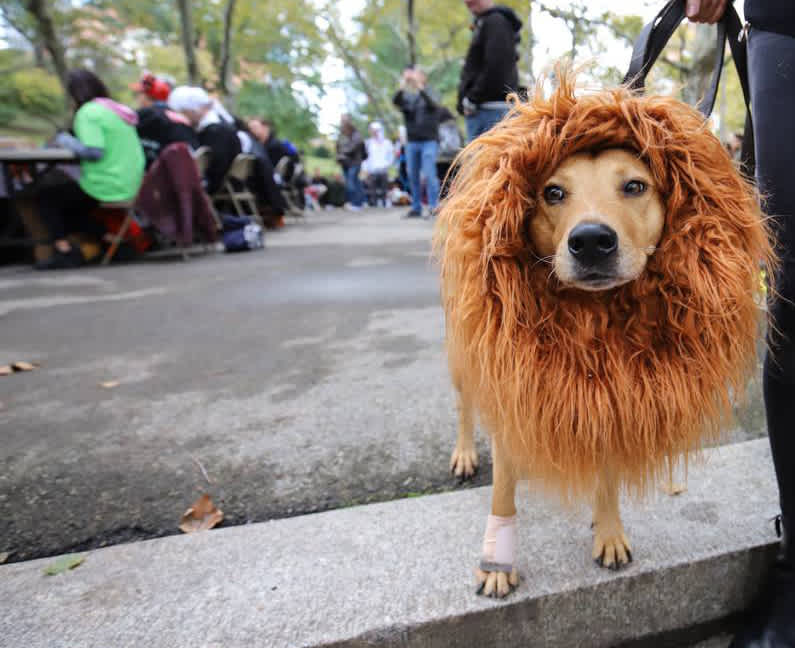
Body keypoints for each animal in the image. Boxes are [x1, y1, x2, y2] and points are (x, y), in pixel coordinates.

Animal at [432, 72, 776, 596]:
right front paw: (498, 564)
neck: (596, 321)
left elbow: (608, 473)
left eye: (634, 186)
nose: (592, 240)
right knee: (466, 408)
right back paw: (466, 453)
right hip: (466, 356)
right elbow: (503, 492)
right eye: (553, 193)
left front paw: (609, 529)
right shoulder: (512, 384)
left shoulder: (617, 394)